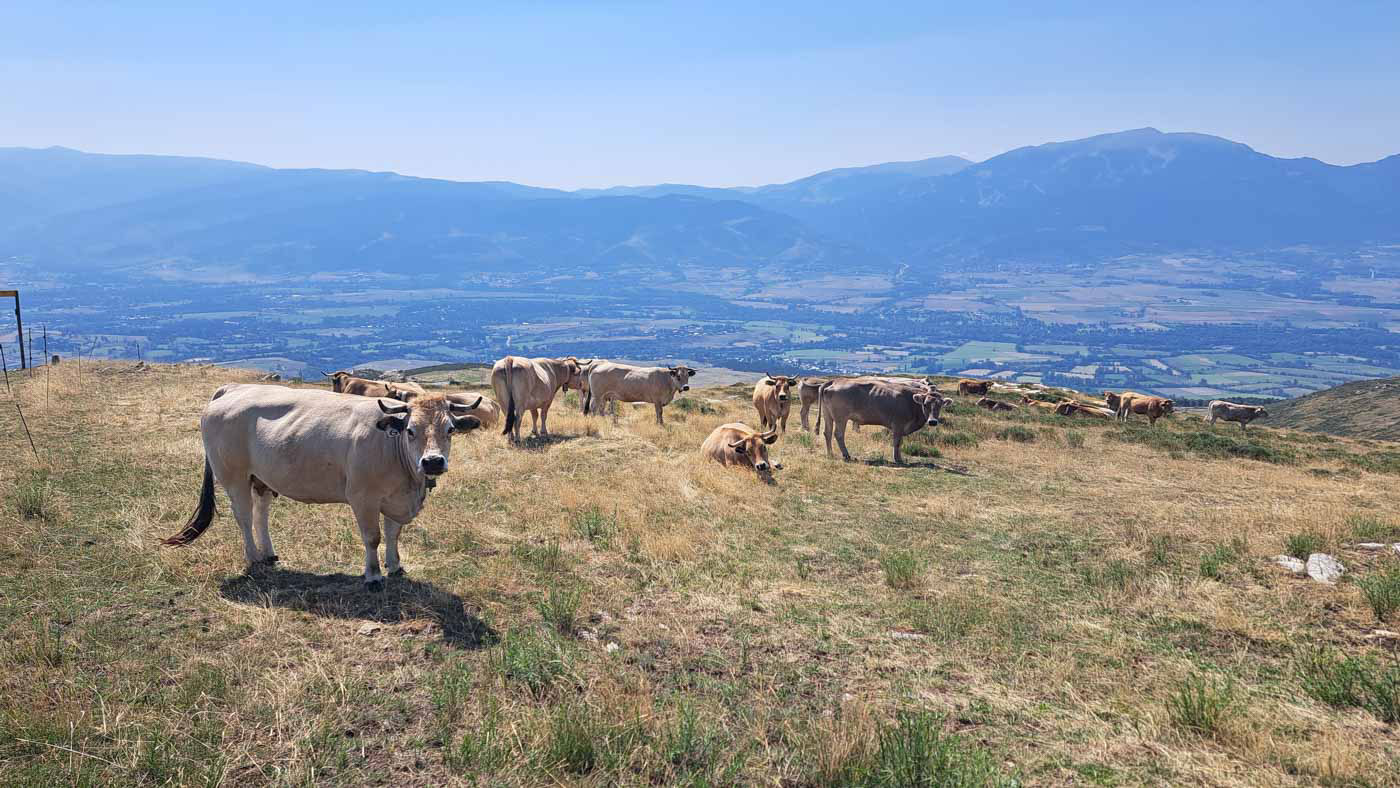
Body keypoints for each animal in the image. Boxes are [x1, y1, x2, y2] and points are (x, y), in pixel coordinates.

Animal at [161, 385, 481, 587]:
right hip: (233, 476)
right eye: (411, 430)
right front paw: (373, 576)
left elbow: (393, 534)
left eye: (450, 429)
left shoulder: (395, 499)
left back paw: (268, 554)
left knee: (261, 512)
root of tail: (233, 388)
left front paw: (395, 566)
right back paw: (253, 558)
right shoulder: (363, 498)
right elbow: (373, 538)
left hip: (261, 477)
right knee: (243, 516)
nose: (433, 462)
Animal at [819, 379, 947, 464]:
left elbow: (900, 442)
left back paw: (830, 454)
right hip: (841, 417)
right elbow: (897, 442)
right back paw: (846, 455)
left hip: (827, 414)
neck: (911, 402)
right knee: (838, 434)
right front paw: (898, 459)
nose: (932, 421)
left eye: (940, 405)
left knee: (827, 433)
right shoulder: (898, 425)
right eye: (925, 404)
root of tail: (835, 381)